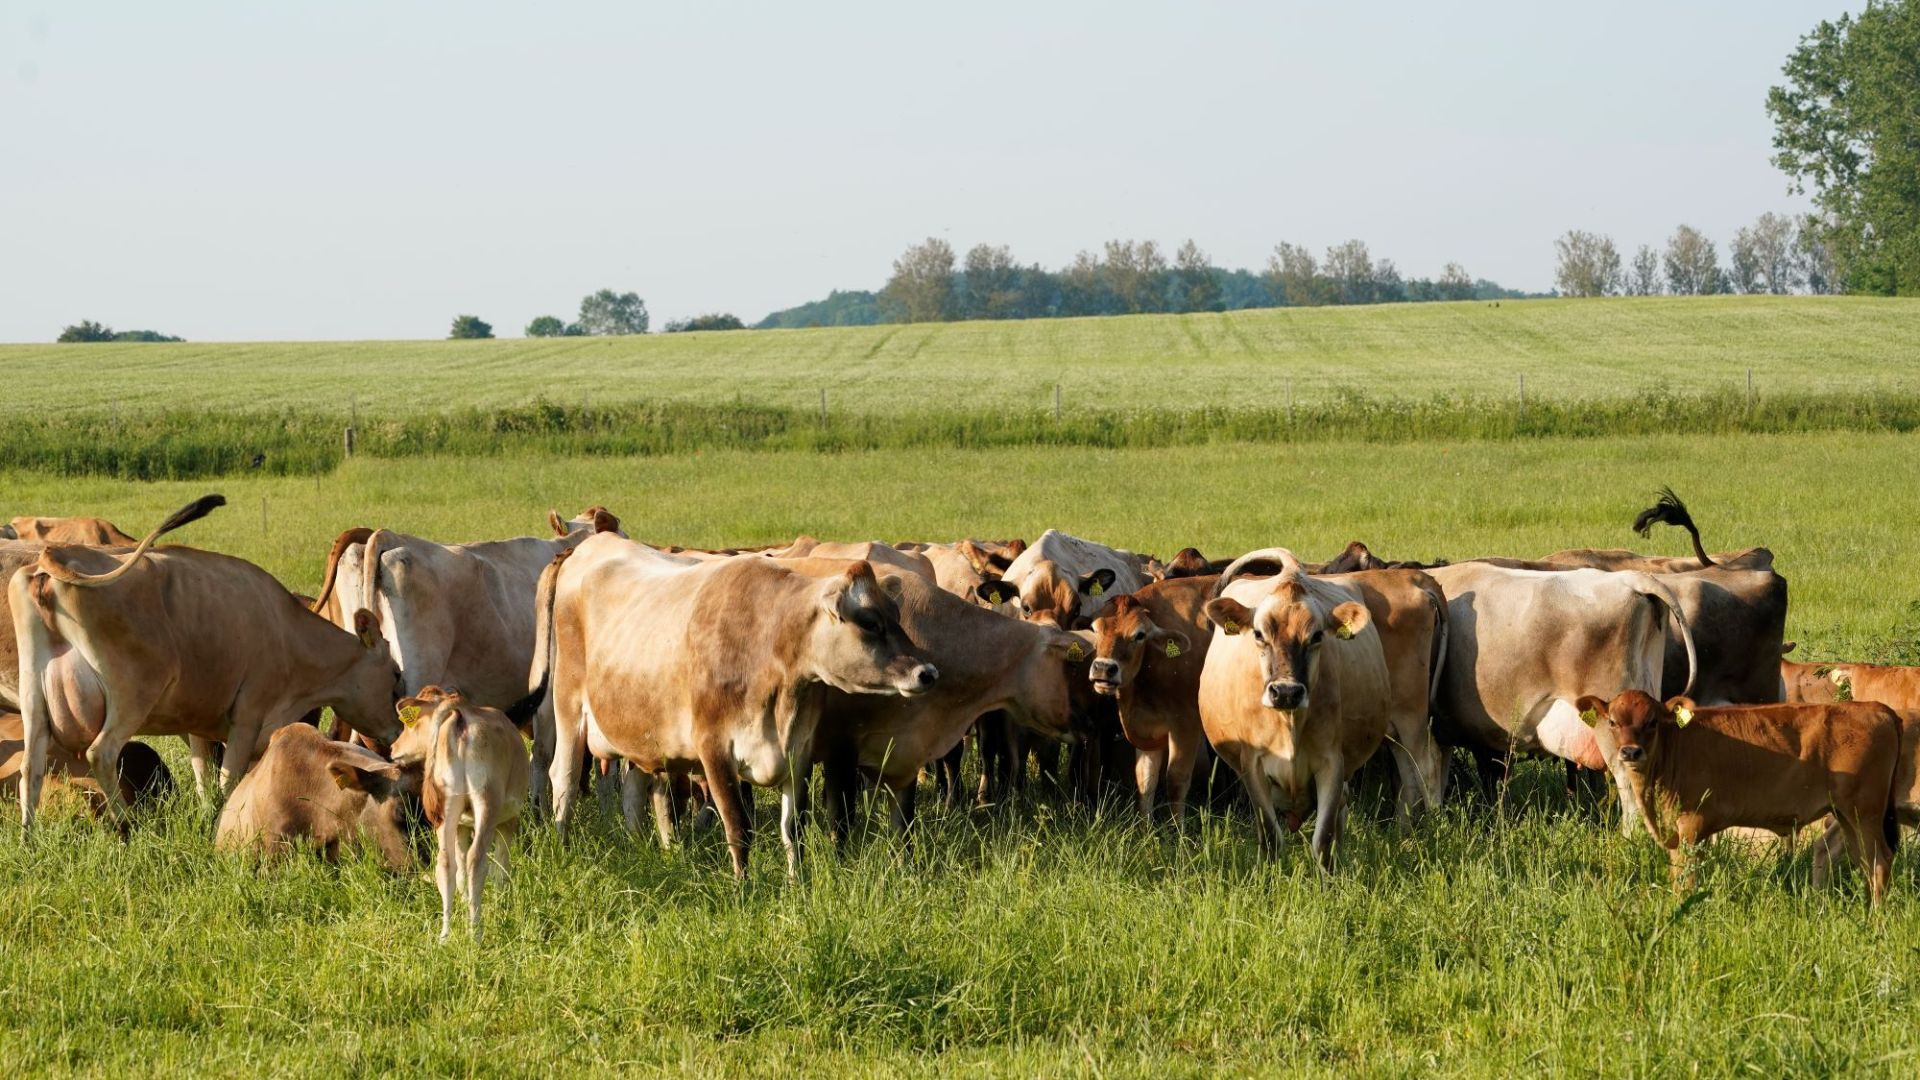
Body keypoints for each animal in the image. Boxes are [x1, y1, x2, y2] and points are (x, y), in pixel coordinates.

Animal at [389, 684, 529, 937]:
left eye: (408, 724)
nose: (393, 747)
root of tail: (460, 713)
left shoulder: (462, 825)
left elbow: (460, 870)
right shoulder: (508, 821)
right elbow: (501, 867)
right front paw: (502, 906)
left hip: (446, 809)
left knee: (446, 864)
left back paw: (445, 935)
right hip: (486, 803)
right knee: (477, 860)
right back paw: (476, 932)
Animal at [1190, 545, 1390, 864]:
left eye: (1317, 636)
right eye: (1259, 634)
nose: (1285, 692)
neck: (1289, 722)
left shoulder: (1332, 764)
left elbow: (1324, 840)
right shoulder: (1252, 764)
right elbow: (1271, 836)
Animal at [1574, 687, 1904, 899]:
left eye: (1652, 722)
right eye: (1613, 722)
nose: (1631, 752)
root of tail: (1877, 708)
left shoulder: (1691, 826)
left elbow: (1686, 879)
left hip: (1865, 812)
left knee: (1880, 862)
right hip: (1846, 815)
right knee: (1862, 860)